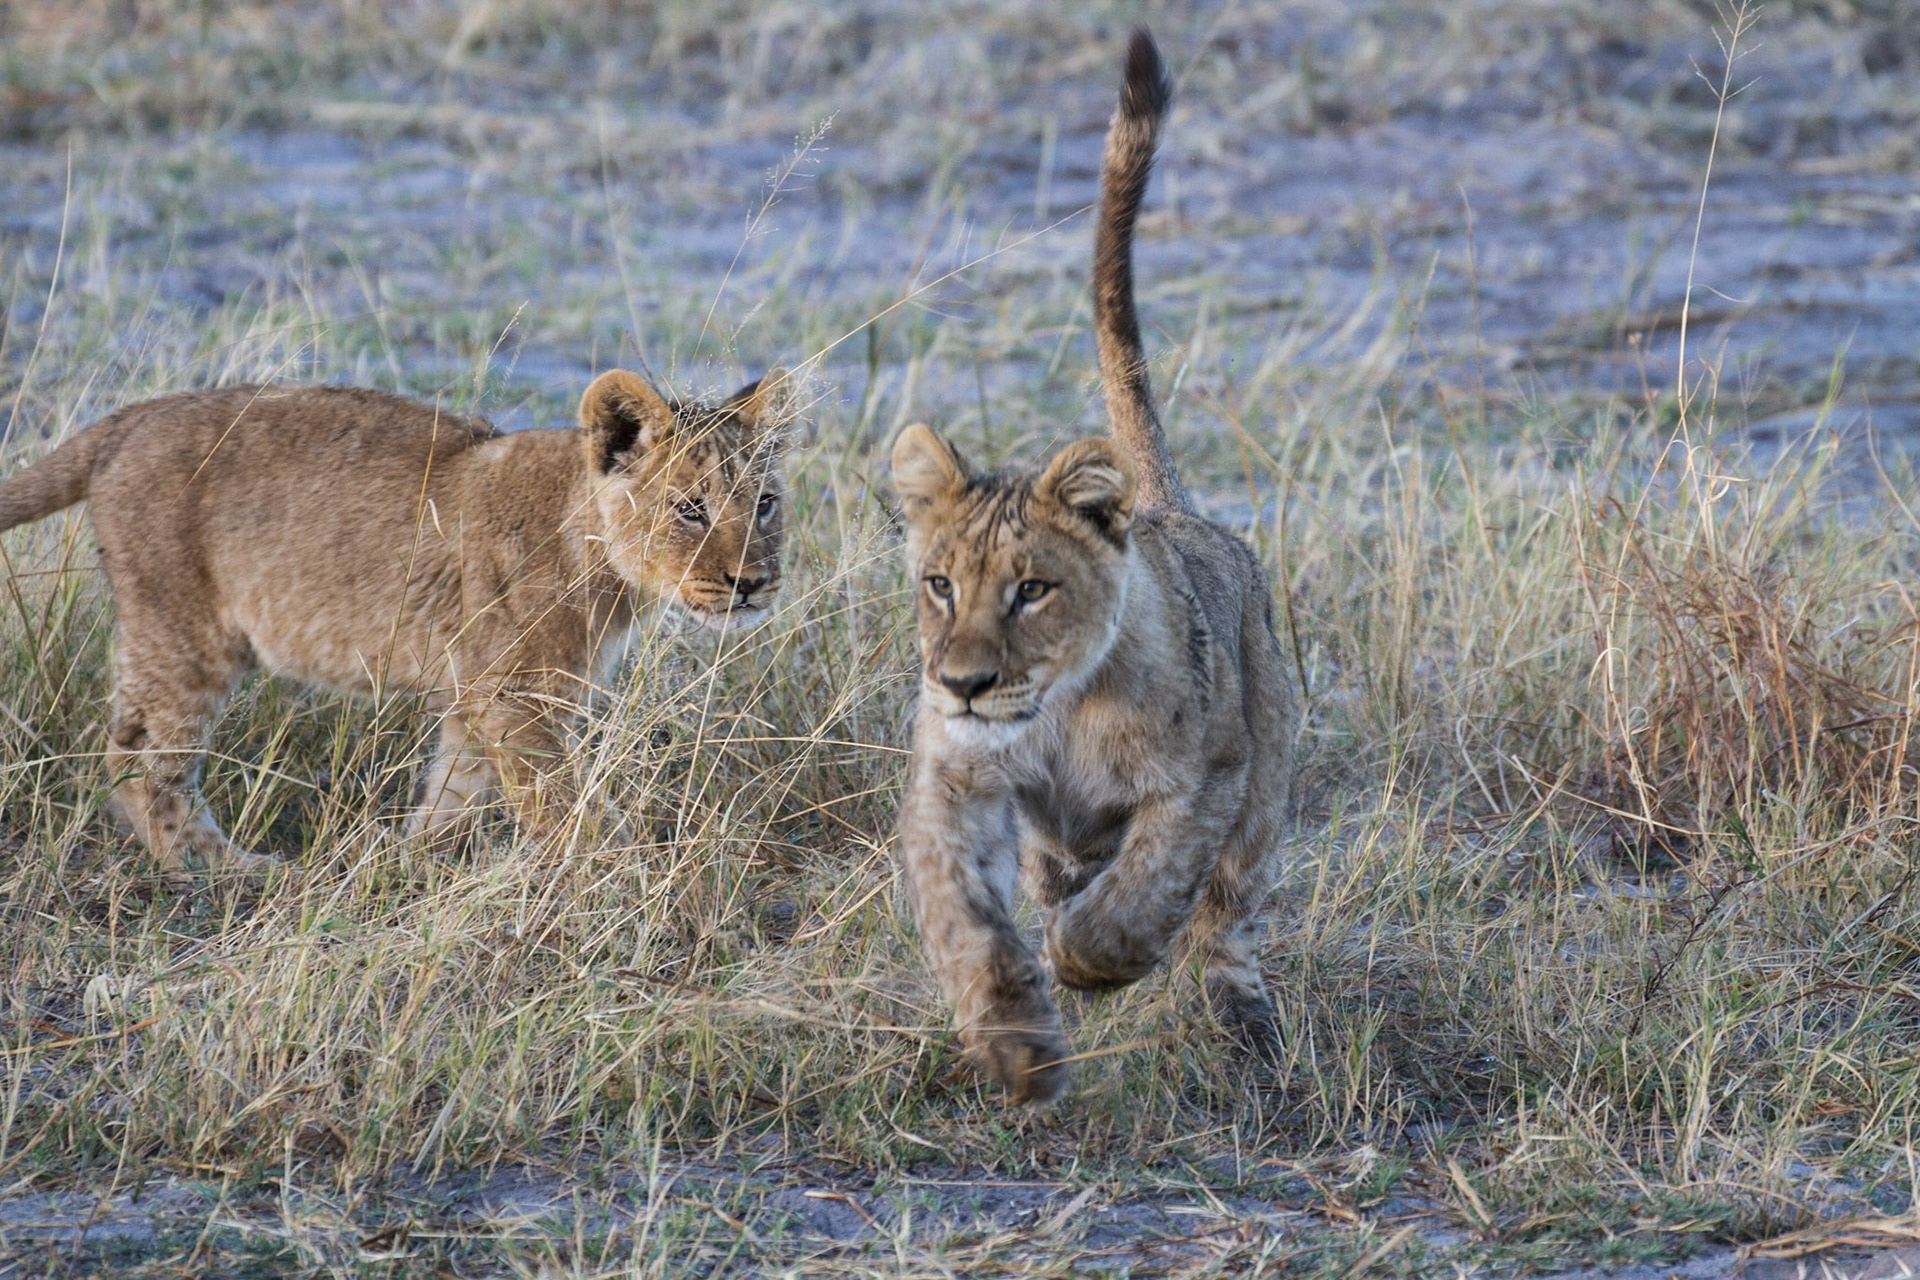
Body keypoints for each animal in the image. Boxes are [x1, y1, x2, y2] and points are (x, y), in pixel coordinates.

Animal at [0, 368, 794, 873]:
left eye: (764, 504)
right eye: (689, 509)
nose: (752, 584)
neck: (598, 551)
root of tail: (133, 417)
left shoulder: (480, 696)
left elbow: (455, 794)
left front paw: (409, 864)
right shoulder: (518, 697)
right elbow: (565, 809)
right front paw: (625, 880)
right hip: (181, 631)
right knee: (139, 759)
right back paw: (226, 870)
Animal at [889, 30, 1298, 1103]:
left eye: (1032, 589)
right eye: (940, 584)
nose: (963, 682)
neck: (1059, 708)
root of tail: (1167, 508)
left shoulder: (1205, 780)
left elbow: (1147, 892)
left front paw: (1084, 960)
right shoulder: (955, 778)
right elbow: (963, 917)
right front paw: (1014, 1044)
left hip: (1265, 776)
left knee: (1226, 914)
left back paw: (1245, 1027)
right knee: (1056, 872)